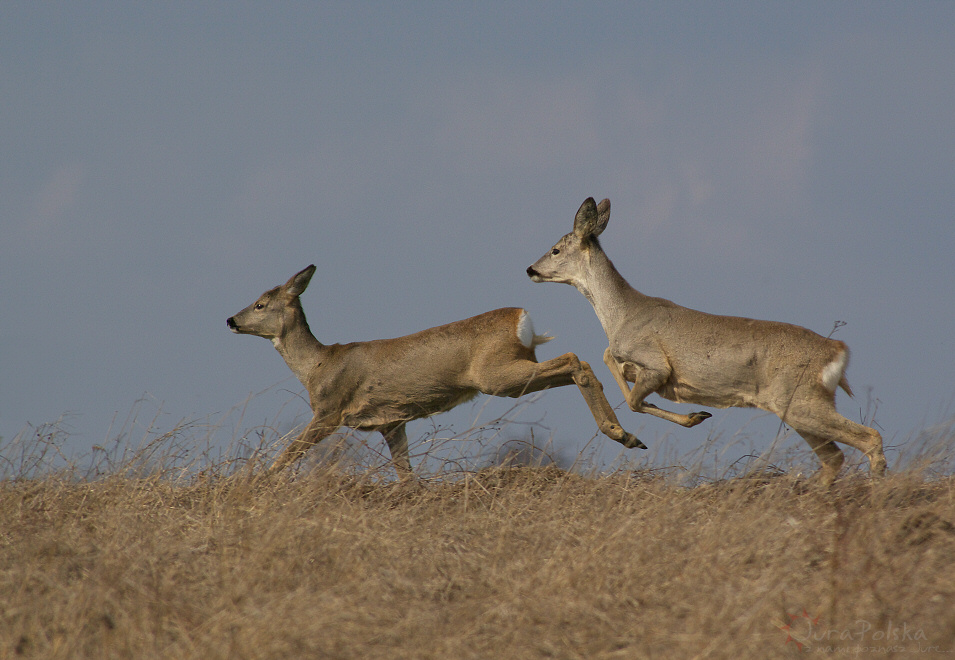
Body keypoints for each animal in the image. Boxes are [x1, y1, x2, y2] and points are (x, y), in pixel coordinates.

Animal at [226, 262, 644, 474]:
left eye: (260, 304)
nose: (230, 319)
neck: (318, 365)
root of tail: (522, 318)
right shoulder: (392, 422)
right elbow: (406, 475)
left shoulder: (329, 411)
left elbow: (286, 456)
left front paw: (254, 485)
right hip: (513, 369)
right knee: (574, 363)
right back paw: (628, 435)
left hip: (495, 375)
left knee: (576, 359)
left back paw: (621, 434)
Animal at [528, 197, 884, 484]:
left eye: (555, 249)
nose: (530, 269)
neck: (622, 314)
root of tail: (837, 351)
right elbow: (609, 362)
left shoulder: (656, 366)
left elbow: (633, 399)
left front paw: (688, 419)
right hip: (800, 407)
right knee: (834, 457)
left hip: (800, 401)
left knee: (869, 437)